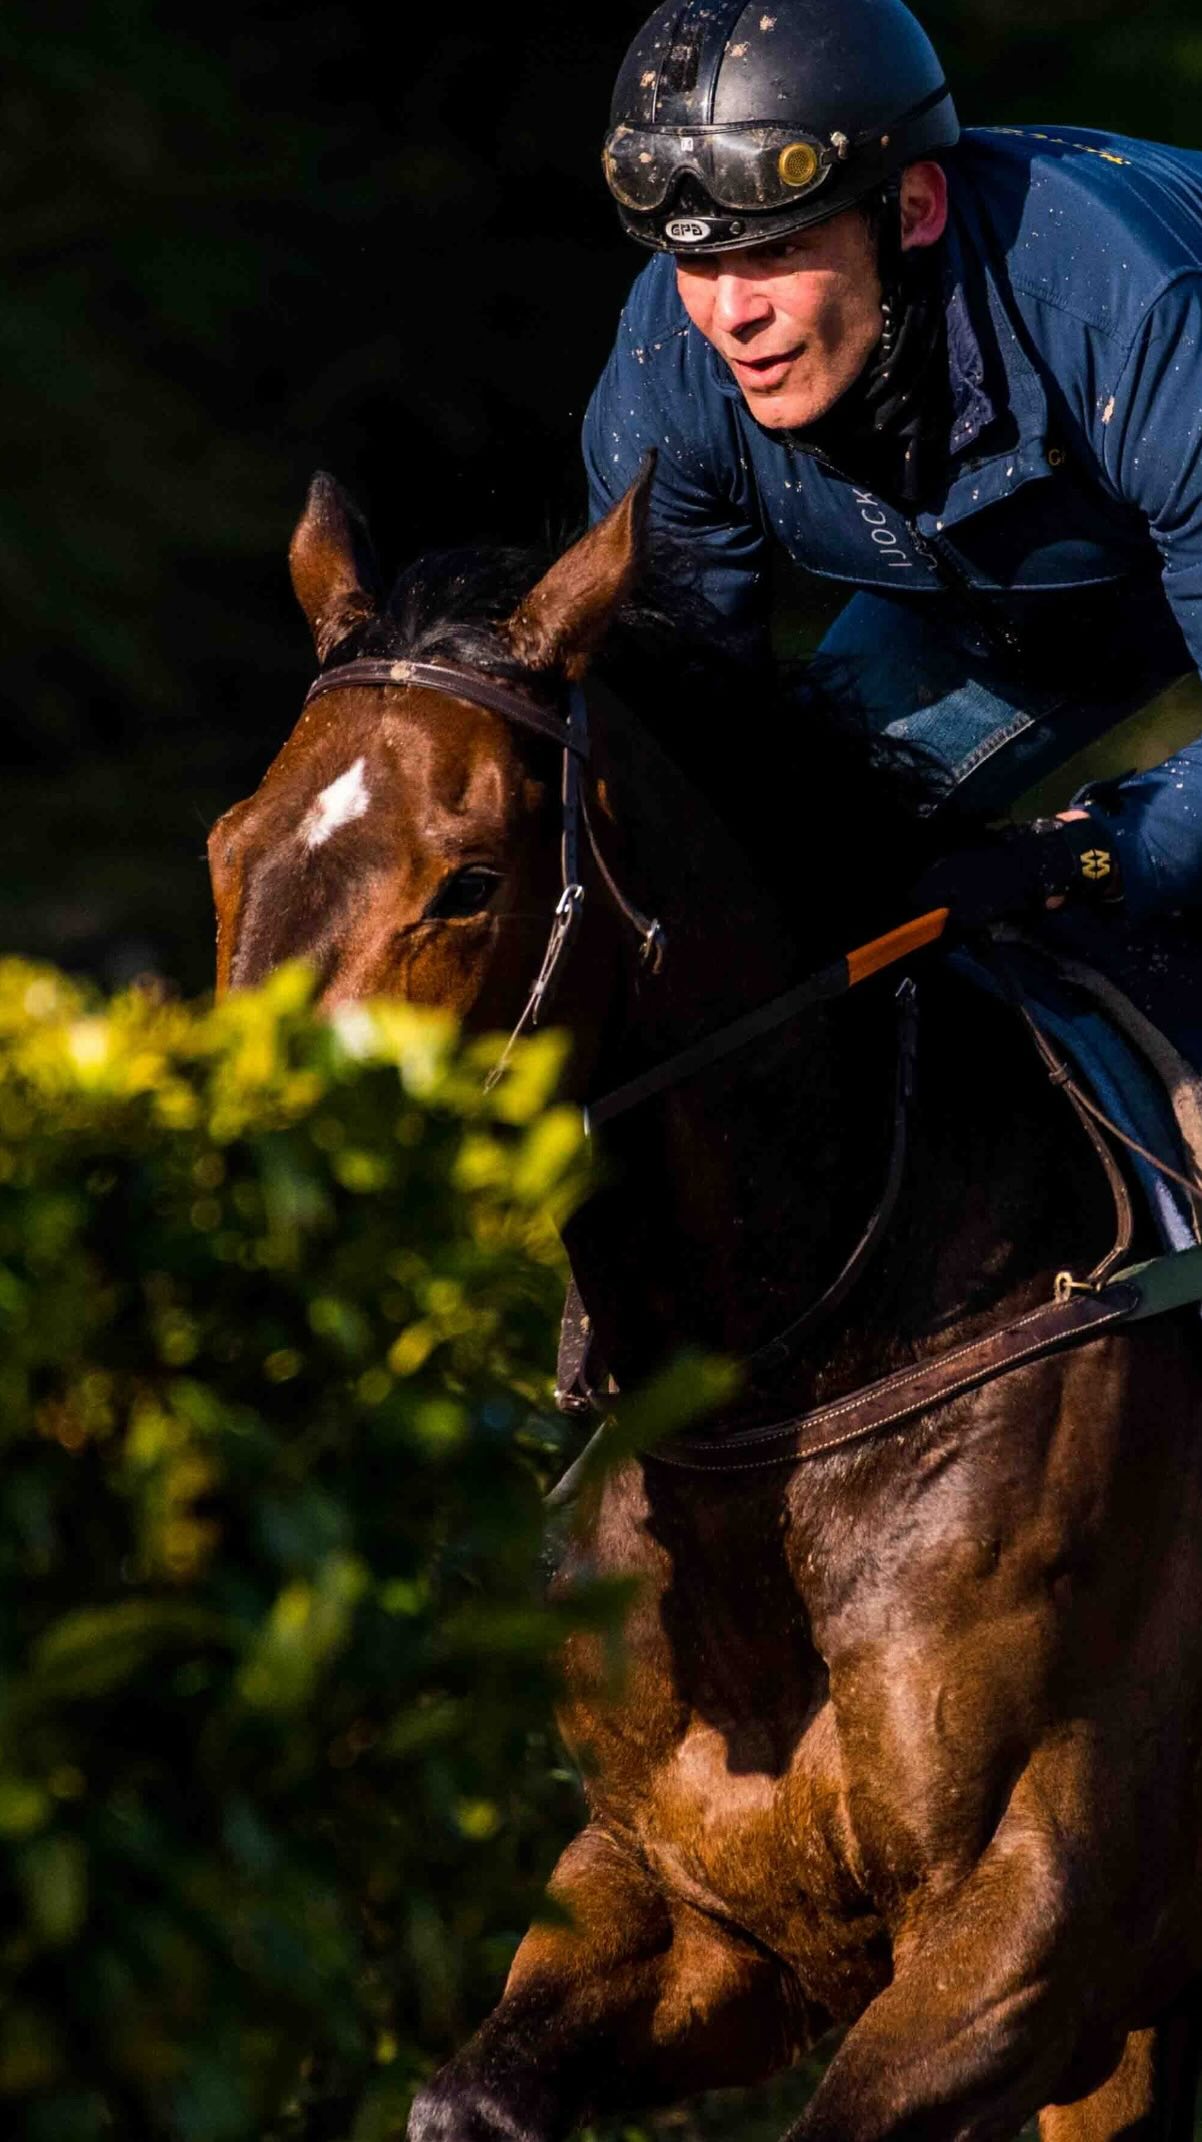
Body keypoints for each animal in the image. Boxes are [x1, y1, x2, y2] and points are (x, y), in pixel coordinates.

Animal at [209, 461, 1202, 2142]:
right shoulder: (699, 1903)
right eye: (230, 846)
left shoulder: (1027, 1934)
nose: (250, 1201)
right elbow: (468, 2095)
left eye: (467, 881)